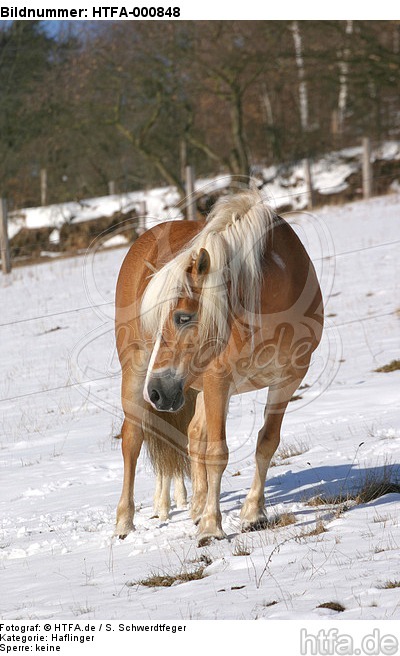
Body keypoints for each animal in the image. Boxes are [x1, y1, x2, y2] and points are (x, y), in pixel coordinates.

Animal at [112, 190, 322, 548]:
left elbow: (266, 442)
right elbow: (217, 453)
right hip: (140, 373)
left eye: (183, 317)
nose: (157, 391)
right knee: (133, 440)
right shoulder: (217, 382)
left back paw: (195, 507)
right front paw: (212, 526)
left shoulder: (288, 380)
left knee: (194, 434)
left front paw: (253, 513)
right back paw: (125, 523)